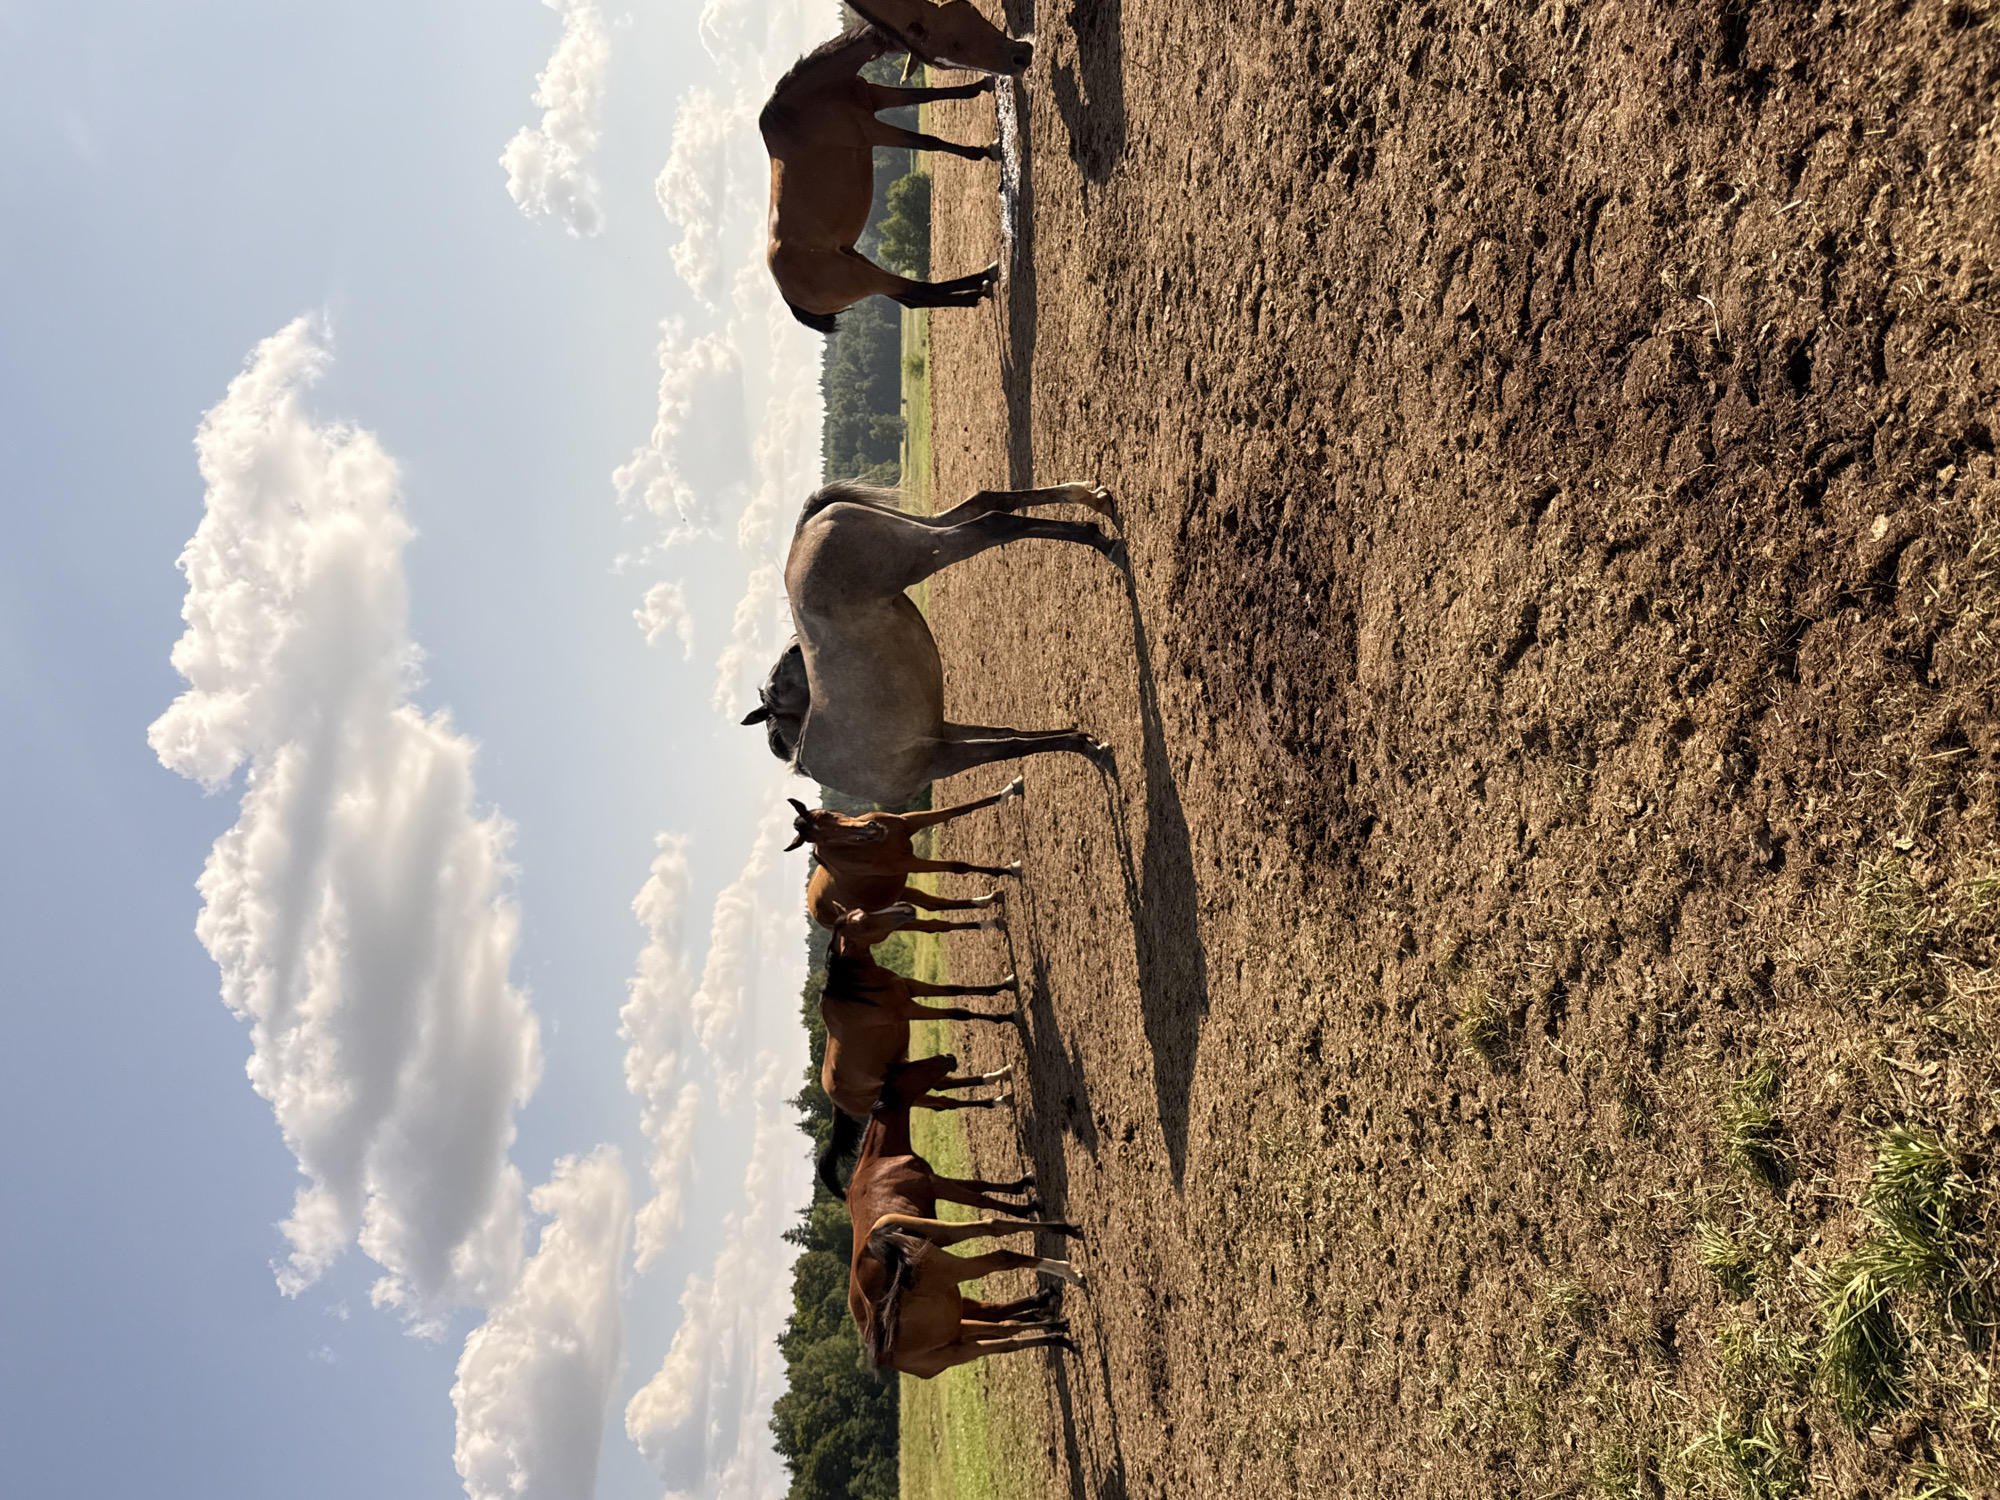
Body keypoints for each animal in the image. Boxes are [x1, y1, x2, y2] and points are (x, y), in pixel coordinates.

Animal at [740, 479, 1123, 805]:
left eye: (792, 652)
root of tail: (804, 530)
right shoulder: (943, 736)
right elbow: (1008, 734)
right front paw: (1083, 736)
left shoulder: (939, 758)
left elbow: (1010, 747)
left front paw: (1090, 748)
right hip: (916, 528)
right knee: (985, 503)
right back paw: (1094, 501)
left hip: (924, 551)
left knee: (992, 523)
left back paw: (1100, 538)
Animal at [762, 27, 1006, 332]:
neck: (807, 102)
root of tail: (790, 298)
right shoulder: (873, 130)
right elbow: (929, 142)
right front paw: (985, 151)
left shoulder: (879, 97)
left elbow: (928, 95)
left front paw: (983, 83)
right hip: (865, 277)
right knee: (917, 292)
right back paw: (982, 283)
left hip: (861, 263)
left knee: (912, 298)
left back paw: (979, 284)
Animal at [784, 777, 1026, 929]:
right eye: (821, 840)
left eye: (826, 813)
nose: (871, 830)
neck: (869, 846)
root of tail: (815, 912)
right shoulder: (907, 863)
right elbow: (958, 866)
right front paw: (1009, 869)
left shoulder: (910, 821)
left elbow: (960, 809)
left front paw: (1009, 790)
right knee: (934, 925)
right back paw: (988, 921)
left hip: (900, 892)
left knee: (934, 904)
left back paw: (987, 904)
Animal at [819, 903, 1020, 1144]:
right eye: (861, 922)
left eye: (862, 911)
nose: (906, 909)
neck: (858, 990)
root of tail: (837, 1102)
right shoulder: (910, 1009)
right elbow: (958, 1013)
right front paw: (1009, 1016)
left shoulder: (912, 988)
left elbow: (955, 989)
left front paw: (1004, 985)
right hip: (909, 1094)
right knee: (945, 1102)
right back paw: (997, 1099)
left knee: (944, 1083)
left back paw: (997, 1077)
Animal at [845, 1057, 1080, 1376]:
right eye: (910, 1068)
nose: (947, 1058)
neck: (879, 1162)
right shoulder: (935, 1184)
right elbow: (982, 1199)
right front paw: (1028, 1204)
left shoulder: (937, 1185)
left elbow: (980, 1185)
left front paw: (1023, 1189)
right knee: (998, 1257)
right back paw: (1065, 1265)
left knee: (996, 1314)